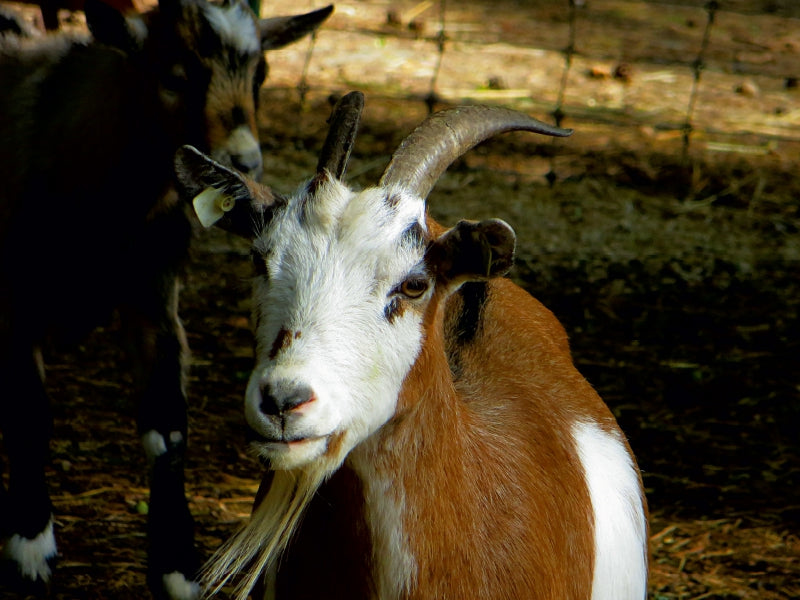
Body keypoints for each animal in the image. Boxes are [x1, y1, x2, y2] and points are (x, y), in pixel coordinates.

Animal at [0, 0, 331, 598]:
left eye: (261, 76)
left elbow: (168, 431)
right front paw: (30, 544)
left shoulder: (153, 299)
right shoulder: (17, 298)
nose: (243, 161)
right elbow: (30, 411)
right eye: (174, 78)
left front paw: (178, 567)